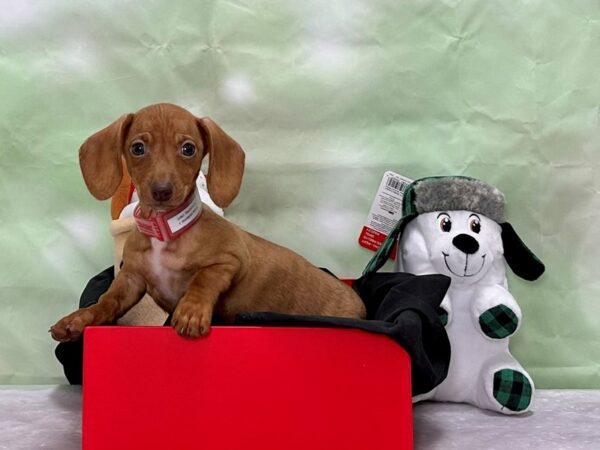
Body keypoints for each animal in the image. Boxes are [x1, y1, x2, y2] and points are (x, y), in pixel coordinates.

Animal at [50, 103, 366, 342]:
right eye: (137, 148)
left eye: (188, 149)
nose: (162, 191)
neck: (165, 231)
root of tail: (360, 305)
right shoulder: (131, 280)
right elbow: (106, 301)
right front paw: (80, 318)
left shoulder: (230, 261)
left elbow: (203, 279)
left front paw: (191, 312)